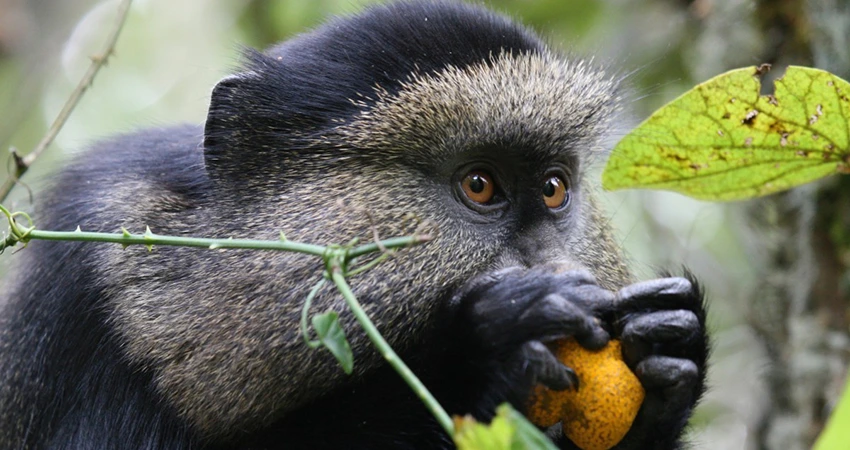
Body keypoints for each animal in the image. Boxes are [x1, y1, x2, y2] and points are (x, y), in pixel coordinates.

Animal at [0, 1, 709, 449]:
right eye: (479, 185)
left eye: (554, 188)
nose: (559, 269)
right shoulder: (95, 293)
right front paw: (477, 354)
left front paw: (670, 348)